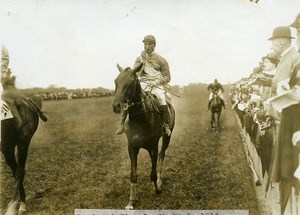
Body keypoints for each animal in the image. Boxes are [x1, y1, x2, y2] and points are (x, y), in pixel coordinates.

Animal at [111, 63, 175, 209]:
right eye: (116, 81)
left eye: (131, 82)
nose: (116, 106)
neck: (141, 117)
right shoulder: (132, 147)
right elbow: (133, 174)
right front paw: (131, 201)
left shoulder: (153, 147)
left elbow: (152, 173)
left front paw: (157, 188)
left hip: (167, 137)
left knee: (162, 155)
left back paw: (160, 180)